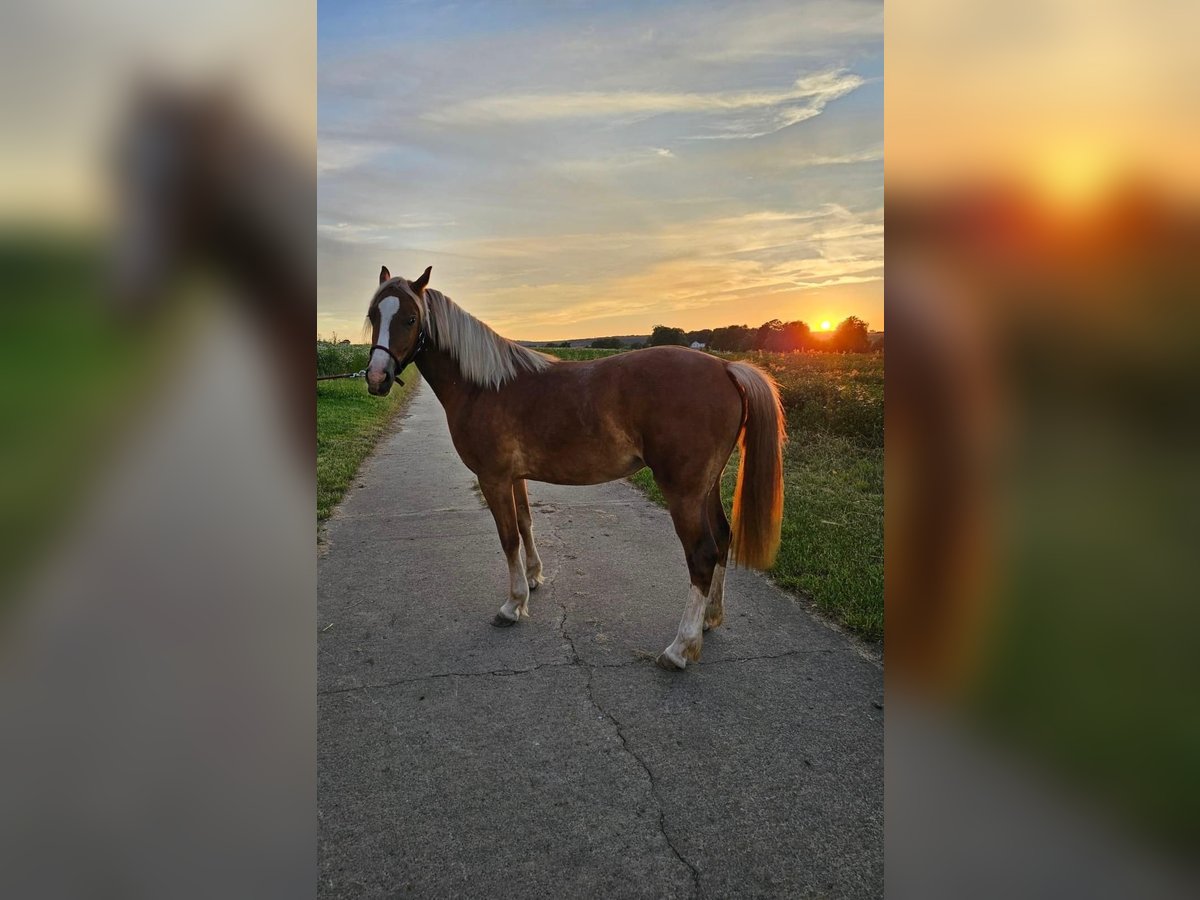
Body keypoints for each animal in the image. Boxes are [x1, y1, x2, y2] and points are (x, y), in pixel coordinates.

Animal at [360, 266, 787, 672]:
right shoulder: (515, 477)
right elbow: (525, 524)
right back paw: (710, 619)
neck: (484, 387)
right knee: (723, 539)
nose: (377, 378)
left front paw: (513, 605)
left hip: (683, 492)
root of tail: (726, 367)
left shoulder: (493, 478)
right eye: (373, 315)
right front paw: (533, 578)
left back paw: (680, 648)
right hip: (707, 487)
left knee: (702, 554)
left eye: (411, 318)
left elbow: (508, 537)